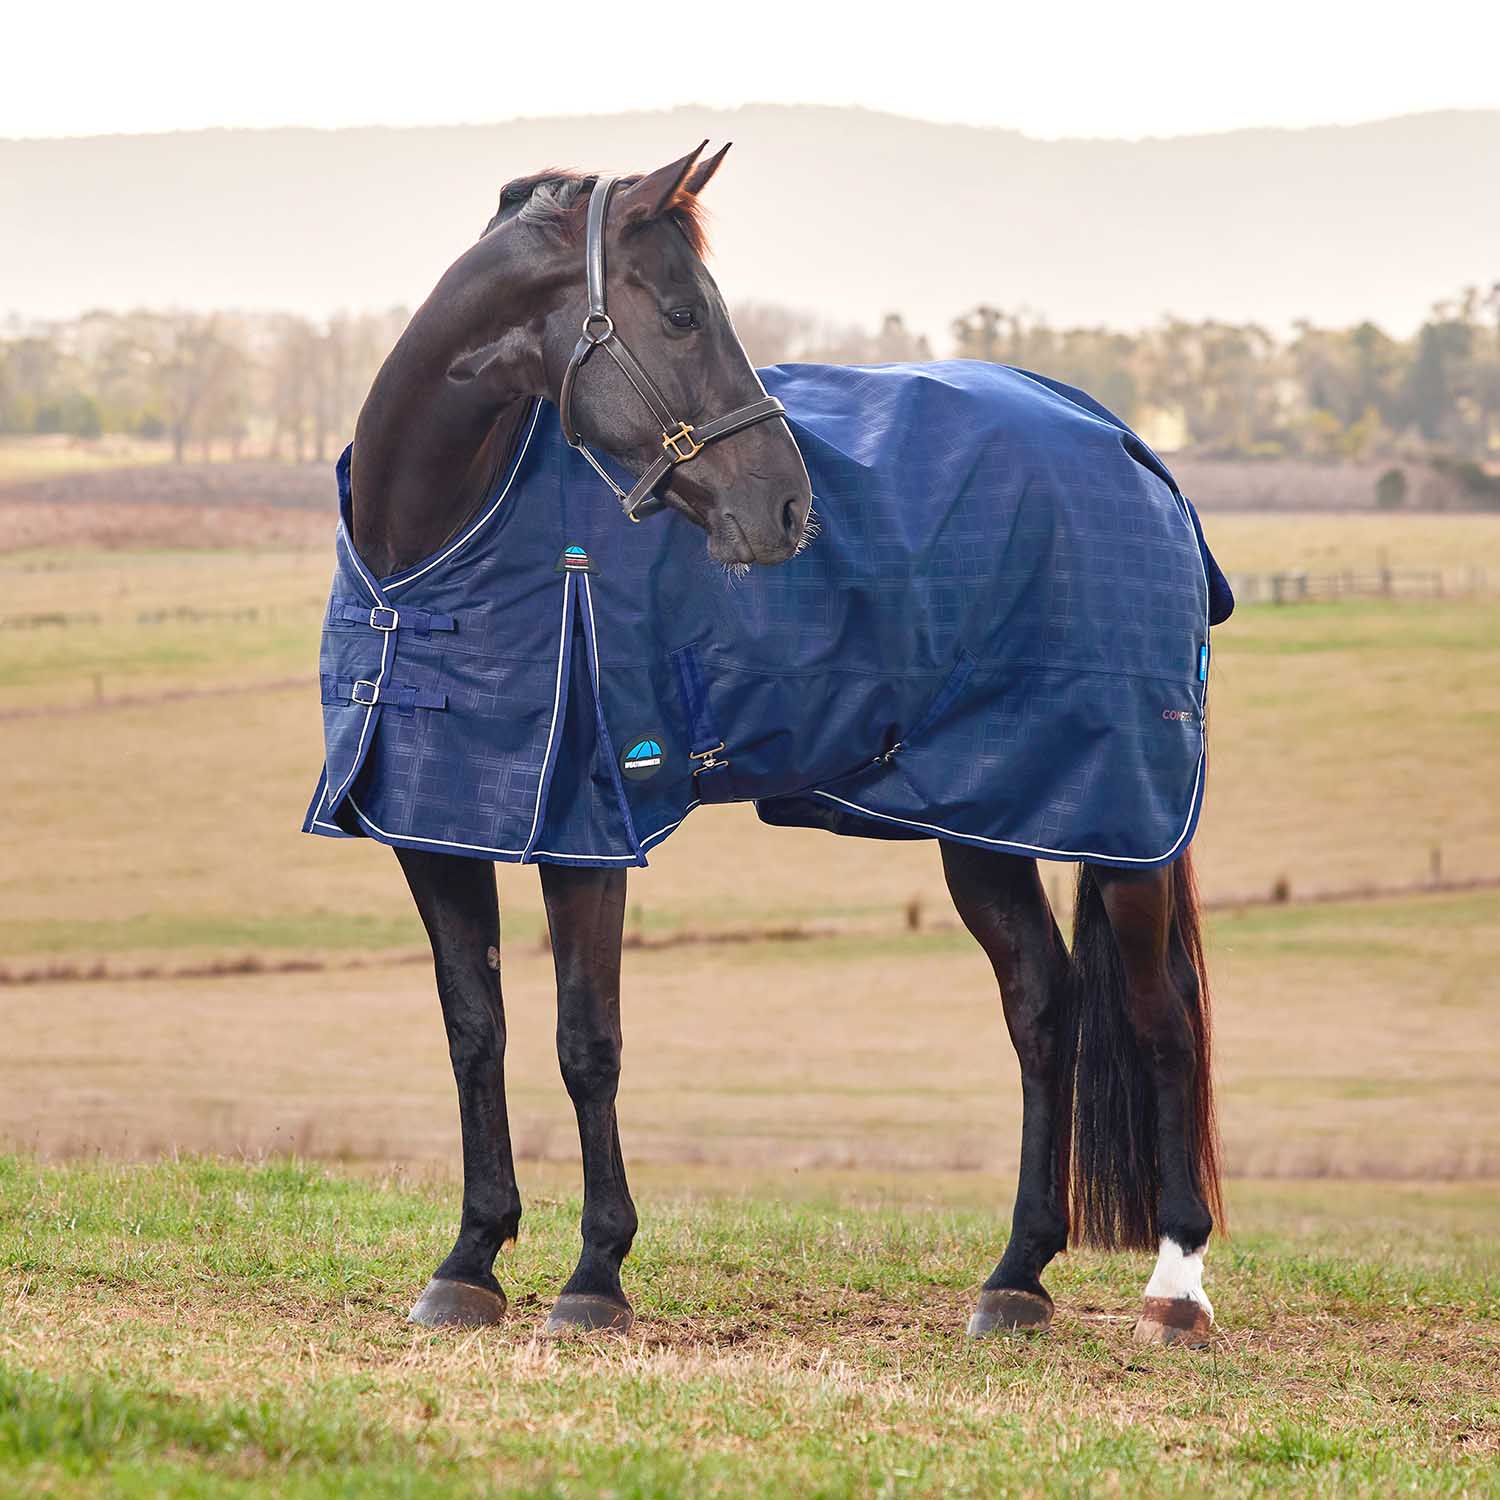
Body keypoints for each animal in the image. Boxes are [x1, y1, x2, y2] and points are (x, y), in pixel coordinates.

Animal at [312, 143, 1225, 1346]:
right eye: (683, 313)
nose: (789, 510)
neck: (430, 554)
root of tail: (1134, 455)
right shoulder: (436, 826)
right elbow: (477, 1032)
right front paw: (470, 1261)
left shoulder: (589, 835)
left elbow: (585, 1044)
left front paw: (594, 1277)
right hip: (983, 820)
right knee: (1044, 1006)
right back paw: (1016, 1276)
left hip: (1124, 819)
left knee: (1162, 1020)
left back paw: (1176, 1288)